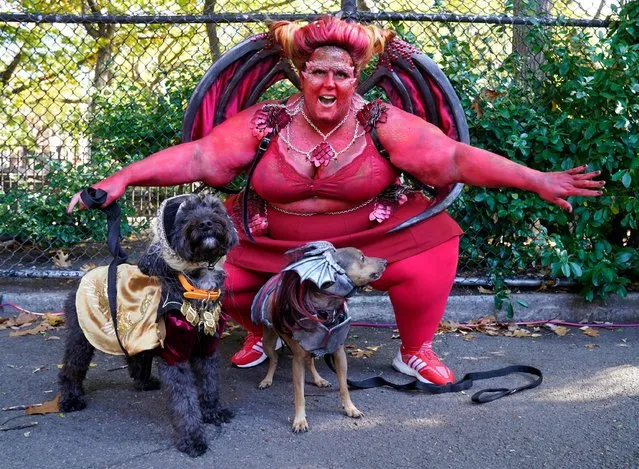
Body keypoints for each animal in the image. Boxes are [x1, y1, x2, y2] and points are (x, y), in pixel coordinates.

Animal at [59, 192, 238, 456]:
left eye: (215, 209)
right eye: (185, 213)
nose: (206, 223)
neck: (197, 285)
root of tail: (88, 272)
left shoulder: (206, 348)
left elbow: (210, 384)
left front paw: (213, 411)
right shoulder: (175, 355)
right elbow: (184, 401)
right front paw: (192, 438)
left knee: (135, 358)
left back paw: (143, 382)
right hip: (82, 336)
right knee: (71, 368)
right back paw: (70, 398)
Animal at [252, 241, 388, 432]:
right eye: (361, 257)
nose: (385, 261)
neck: (326, 309)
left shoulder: (339, 353)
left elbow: (344, 386)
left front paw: (351, 408)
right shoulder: (297, 361)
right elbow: (299, 394)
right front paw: (299, 420)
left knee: (310, 362)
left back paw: (319, 380)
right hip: (268, 341)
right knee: (274, 359)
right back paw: (267, 380)